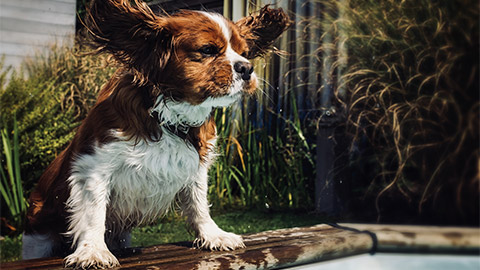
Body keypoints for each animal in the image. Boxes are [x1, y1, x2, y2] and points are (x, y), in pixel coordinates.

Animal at [22, 0, 288, 268]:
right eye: (208, 49)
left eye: (244, 52)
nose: (247, 68)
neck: (168, 116)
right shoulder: (94, 168)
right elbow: (93, 212)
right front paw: (93, 250)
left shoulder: (195, 170)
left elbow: (199, 204)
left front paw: (213, 235)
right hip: (37, 240)